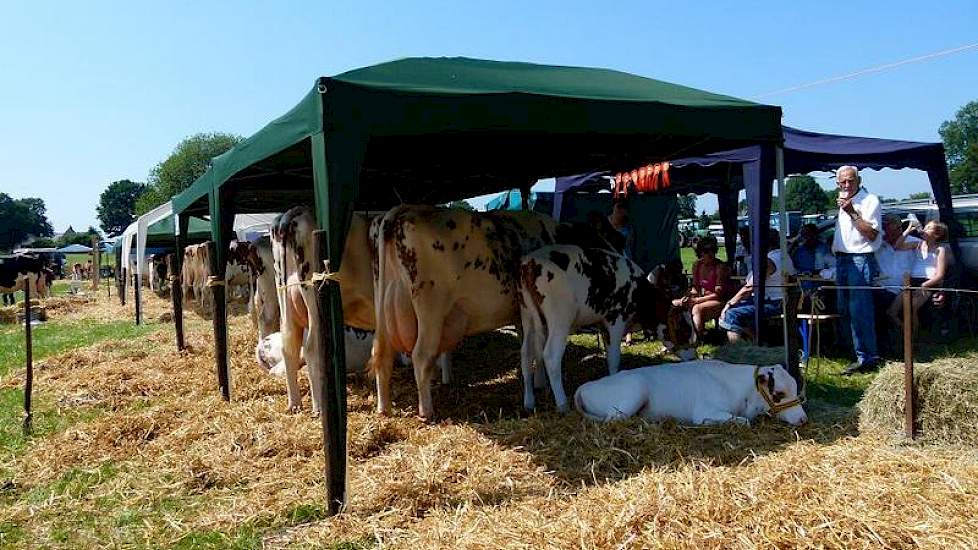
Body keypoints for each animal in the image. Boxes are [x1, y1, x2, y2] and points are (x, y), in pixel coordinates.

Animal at [366, 207, 556, 422]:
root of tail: (402, 211)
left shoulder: (520, 315)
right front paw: (541, 383)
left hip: (382, 305)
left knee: (382, 356)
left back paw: (383, 408)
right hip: (431, 310)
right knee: (421, 356)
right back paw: (426, 411)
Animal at [516, 247, 692, 414]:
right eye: (683, 330)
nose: (693, 358)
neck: (638, 292)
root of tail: (530, 260)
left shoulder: (602, 324)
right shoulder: (615, 321)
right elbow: (614, 358)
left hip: (527, 315)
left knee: (526, 354)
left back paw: (529, 402)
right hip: (560, 318)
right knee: (551, 356)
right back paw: (562, 404)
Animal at [568, 362, 804, 426]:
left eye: (796, 388)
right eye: (779, 393)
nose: (803, 419)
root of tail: (587, 385)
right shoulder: (704, 412)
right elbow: (743, 422)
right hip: (633, 393)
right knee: (613, 420)